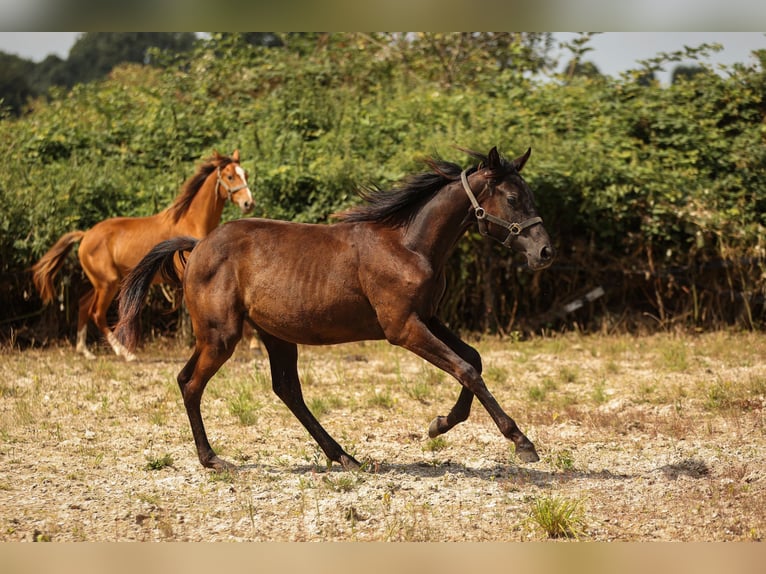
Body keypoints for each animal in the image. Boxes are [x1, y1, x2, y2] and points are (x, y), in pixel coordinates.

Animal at [31, 151, 254, 362]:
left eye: (245, 174)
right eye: (230, 176)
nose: (248, 203)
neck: (190, 222)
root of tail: (85, 235)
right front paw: (253, 344)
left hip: (104, 282)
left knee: (84, 304)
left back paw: (85, 351)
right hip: (108, 283)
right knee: (97, 313)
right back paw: (125, 353)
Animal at [117, 147, 556, 472]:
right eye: (512, 198)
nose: (544, 252)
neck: (409, 244)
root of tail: (197, 247)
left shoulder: (427, 317)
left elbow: (474, 360)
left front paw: (441, 424)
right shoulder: (403, 328)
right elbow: (466, 369)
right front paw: (521, 442)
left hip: (268, 335)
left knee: (278, 389)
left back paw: (343, 455)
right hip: (221, 335)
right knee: (193, 384)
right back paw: (212, 459)